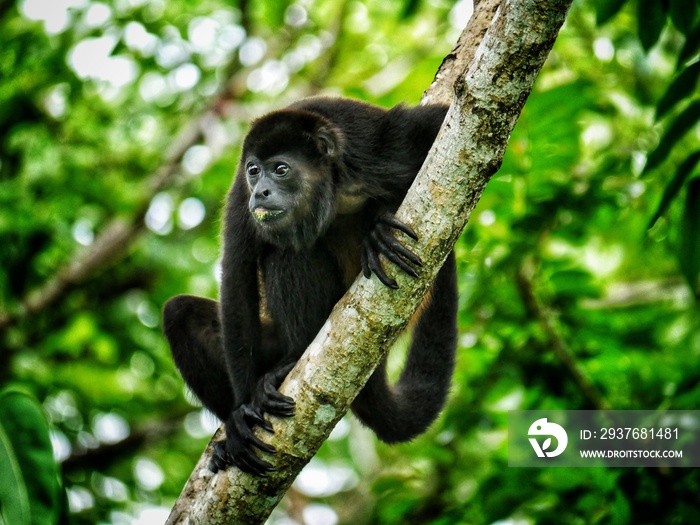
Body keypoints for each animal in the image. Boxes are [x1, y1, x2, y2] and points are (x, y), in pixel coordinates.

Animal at [164, 96, 460, 476]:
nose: (261, 192)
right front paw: (241, 415)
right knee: (180, 313)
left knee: (291, 254)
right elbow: (236, 277)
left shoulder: (383, 144)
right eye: (254, 170)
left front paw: (379, 224)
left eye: (281, 169)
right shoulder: (240, 197)